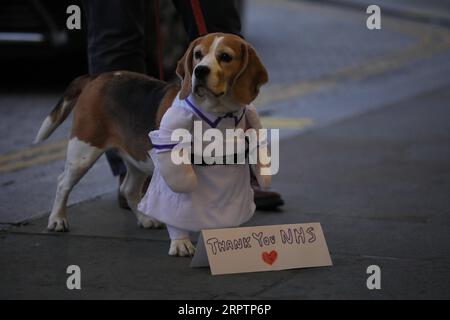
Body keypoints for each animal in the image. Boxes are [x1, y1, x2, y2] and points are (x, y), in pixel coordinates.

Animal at [36, 32, 268, 256]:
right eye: (198, 55)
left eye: (225, 57)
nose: (200, 71)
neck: (218, 114)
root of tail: (98, 77)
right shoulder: (174, 171)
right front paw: (181, 243)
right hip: (83, 151)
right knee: (62, 183)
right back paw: (57, 219)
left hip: (137, 158)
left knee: (128, 189)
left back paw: (144, 218)